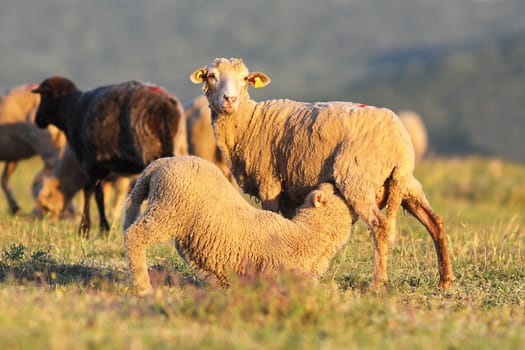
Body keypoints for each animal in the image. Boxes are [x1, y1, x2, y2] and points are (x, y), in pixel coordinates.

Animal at [31, 76, 187, 235]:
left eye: (44, 96)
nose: (37, 120)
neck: (71, 109)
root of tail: (164, 105)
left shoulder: (89, 163)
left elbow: (93, 193)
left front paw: (91, 228)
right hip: (178, 147)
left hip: (149, 150)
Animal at [122, 156, 352, 296]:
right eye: (335, 193)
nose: (331, 182)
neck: (307, 236)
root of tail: (161, 163)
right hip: (168, 208)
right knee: (134, 237)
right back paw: (143, 287)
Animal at [189, 57, 454, 290]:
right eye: (211, 76)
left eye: (245, 78)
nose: (230, 99)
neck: (247, 122)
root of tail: (398, 142)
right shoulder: (289, 191)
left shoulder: (270, 182)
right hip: (406, 182)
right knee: (435, 221)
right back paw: (445, 280)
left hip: (358, 178)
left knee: (380, 225)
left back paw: (377, 283)